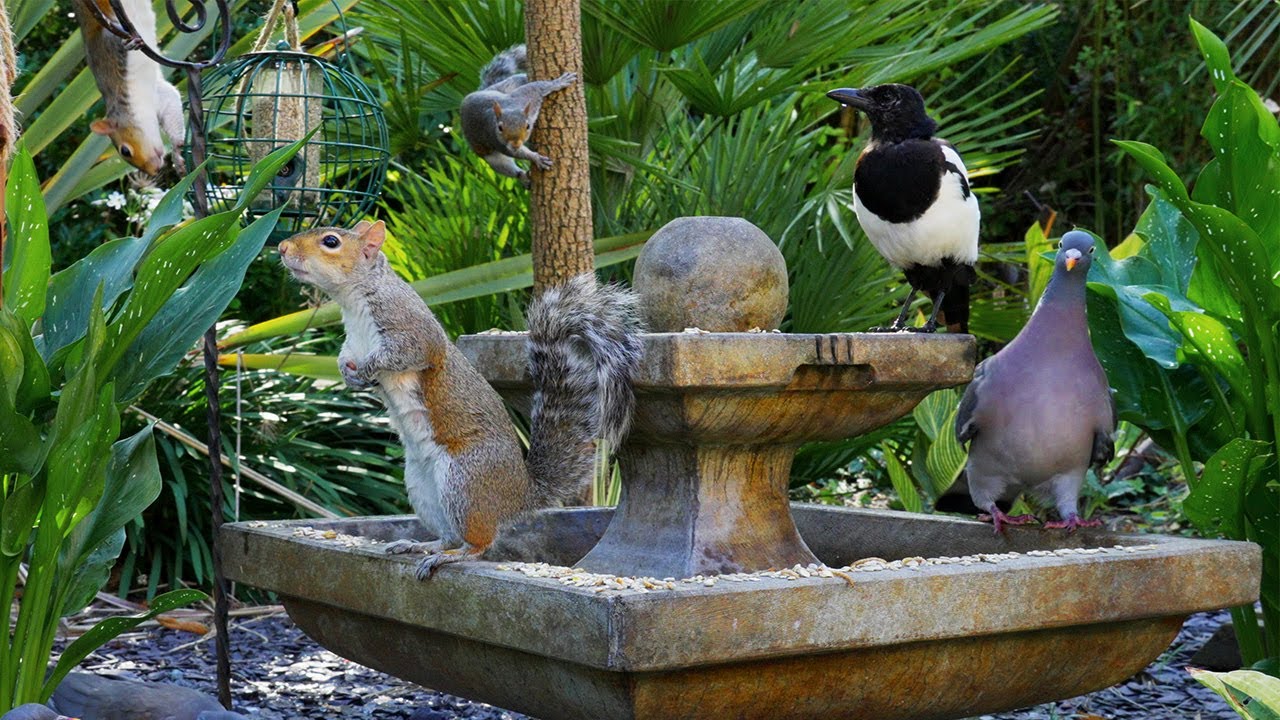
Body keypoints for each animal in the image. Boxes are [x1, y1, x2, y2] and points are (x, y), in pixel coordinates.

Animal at [71, 0, 185, 175]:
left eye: (125, 151)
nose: (154, 171)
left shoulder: (107, 47)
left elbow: (116, 38)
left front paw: (131, 43)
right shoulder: (160, 95)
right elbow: (171, 106)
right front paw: (177, 152)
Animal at [278, 221, 643, 579]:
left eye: (331, 241)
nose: (281, 247)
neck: (355, 303)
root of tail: (519, 495)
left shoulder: (411, 331)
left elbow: (406, 354)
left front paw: (369, 368)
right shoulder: (352, 342)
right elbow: (345, 358)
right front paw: (349, 374)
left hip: (465, 480)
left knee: (479, 543)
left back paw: (450, 557)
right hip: (422, 486)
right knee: (449, 534)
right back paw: (422, 546)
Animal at [460, 44, 577, 188]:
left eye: (528, 126)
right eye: (499, 128)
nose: (515, 143)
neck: (510, 108)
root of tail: (485, 89)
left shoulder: (525, 96)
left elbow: (537, 86)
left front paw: (557, 83)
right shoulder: (496, 140)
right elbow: (516, 153)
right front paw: (536, 158)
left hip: (508, 86)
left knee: (520, 78)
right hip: (489, 155)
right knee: (507, 167)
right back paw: (523, 177)